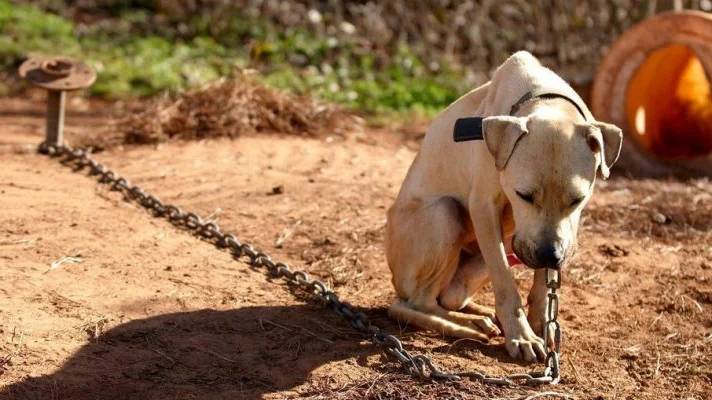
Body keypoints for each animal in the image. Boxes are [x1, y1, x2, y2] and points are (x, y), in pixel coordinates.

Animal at [384, 50, 624, 362]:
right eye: (523, 195)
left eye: (577, 199)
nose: (550, 255)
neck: (544, 98)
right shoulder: (484, 208)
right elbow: (506, 283)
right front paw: (522, 336)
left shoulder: (555, 237)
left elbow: (543, 282)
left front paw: (541, 322)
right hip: (445, 214)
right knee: (415, 303)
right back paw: (468, 325)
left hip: (494, 253)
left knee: (447, 297)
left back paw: (478, 314)